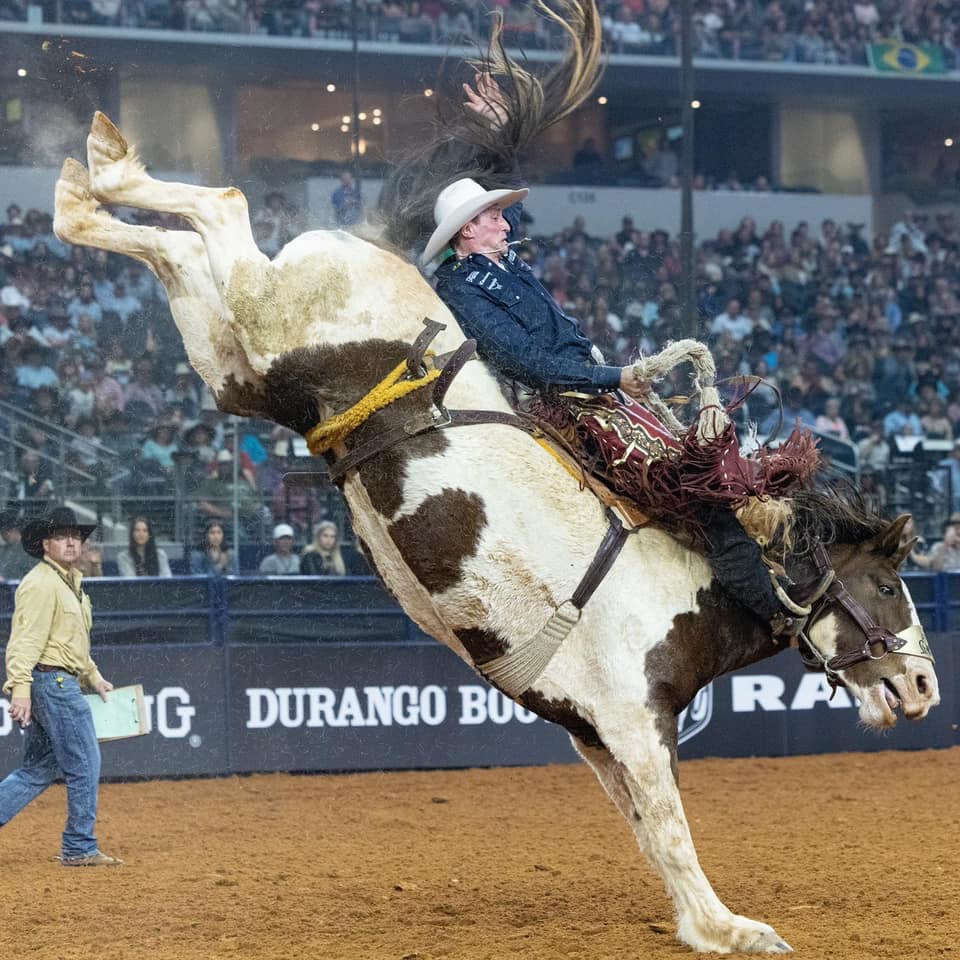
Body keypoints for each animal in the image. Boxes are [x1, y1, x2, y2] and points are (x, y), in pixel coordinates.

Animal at [52, 0, 936, 948]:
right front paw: (739, 931)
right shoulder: (633, 720)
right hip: (268, 317)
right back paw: (102, 166)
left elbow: (653, 839)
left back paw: (82, 186)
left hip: (240, 367)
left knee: (174, 254)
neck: (691, 575)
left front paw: (704, 926)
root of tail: (380, 248)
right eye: (890, 585)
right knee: (223, 207)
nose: (925, 685)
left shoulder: (596, 736)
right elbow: (672, 831)